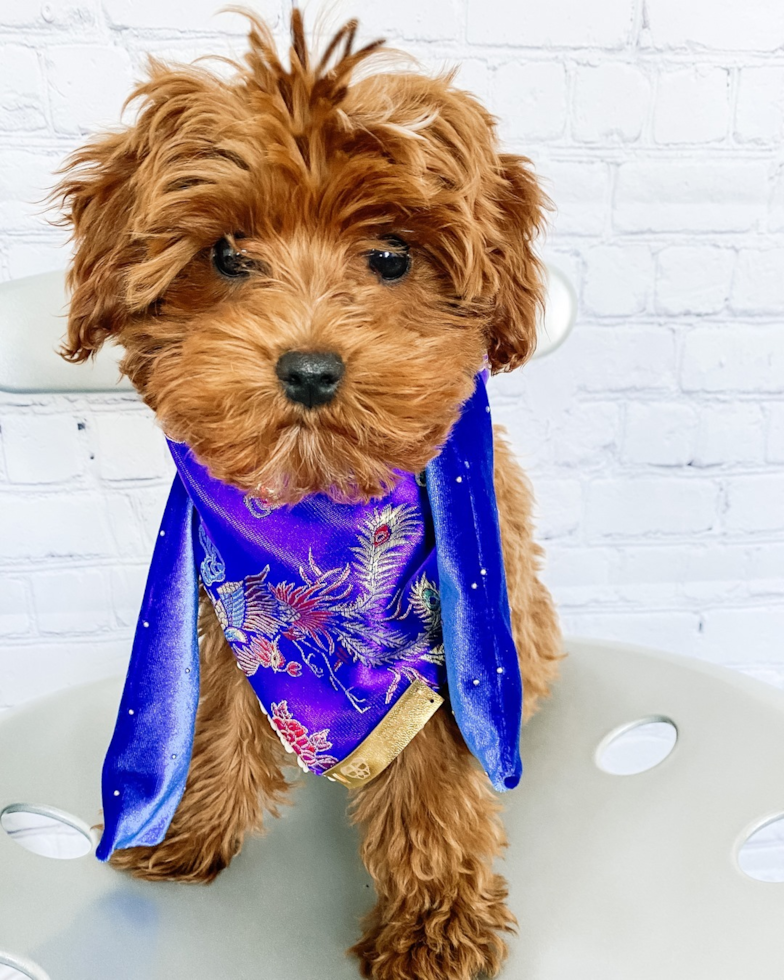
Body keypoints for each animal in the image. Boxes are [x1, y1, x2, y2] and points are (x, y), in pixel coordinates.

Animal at [55, 9, 560, 980]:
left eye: (392, 257)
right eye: (226, 255)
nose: (311, 369)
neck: (316, 505)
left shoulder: (446, 641)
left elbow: (437, 778)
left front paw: (432, 923)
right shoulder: (219, 602)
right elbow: (215, 715)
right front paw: (187, 831)